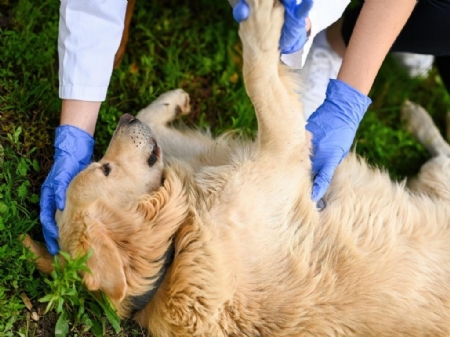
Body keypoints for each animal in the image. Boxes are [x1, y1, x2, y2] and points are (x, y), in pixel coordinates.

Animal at [25, 1, 450, 334]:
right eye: (105, 171)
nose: (125, 118)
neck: (175, 247)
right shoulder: (283, 149)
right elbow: (257, 75)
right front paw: (262, 21)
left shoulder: (208, 159)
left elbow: (164, 130)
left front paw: (167, 102)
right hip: (435, 179)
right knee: (442, 151)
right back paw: (416, 117)